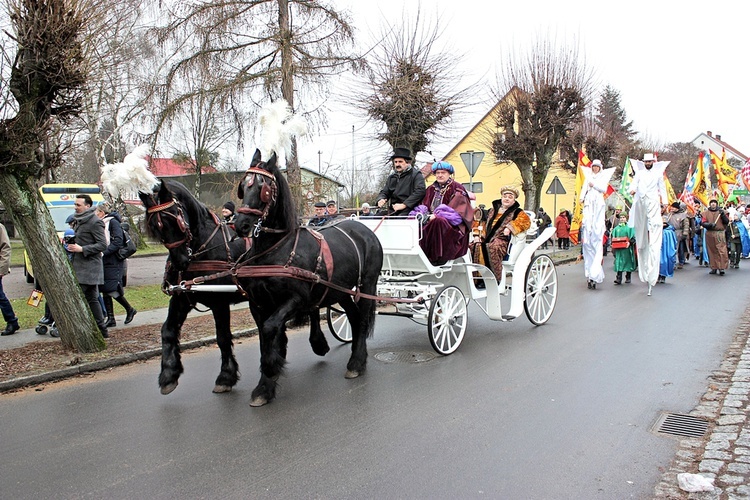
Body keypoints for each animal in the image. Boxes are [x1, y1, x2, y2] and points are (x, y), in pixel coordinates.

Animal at [140, 182, 334, 396]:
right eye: (154, 226)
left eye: (176, 217)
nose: (180, 262)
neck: (205, 246)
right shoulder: (183, 297)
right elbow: (167, 330)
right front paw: (168, 374)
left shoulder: (219, 302)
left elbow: (223, 337)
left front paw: (226, 376)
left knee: (313, 307)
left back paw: (317, 343)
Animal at [235, 148, 384, 406]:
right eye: (243, 186)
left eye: (264, 188)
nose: (241, 224)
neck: (275, 248)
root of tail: (364, 229)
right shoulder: (257, 304)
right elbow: (265, 336)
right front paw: (265, 386)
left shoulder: (296, 300)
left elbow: (270, 328)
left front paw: (271, 368)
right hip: (341, 290)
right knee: (355, 318)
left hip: (367, 284)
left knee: (363, 319)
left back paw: (357, 362)